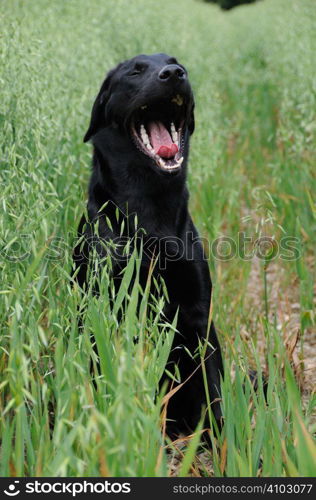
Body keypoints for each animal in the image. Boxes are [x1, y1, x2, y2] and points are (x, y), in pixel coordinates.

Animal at [73, 52, 223, 440]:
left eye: (176, 62)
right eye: (135, 71)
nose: (174, 74)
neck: (151, 207)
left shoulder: (198, 315)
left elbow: (215, 395)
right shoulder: (101, 307)